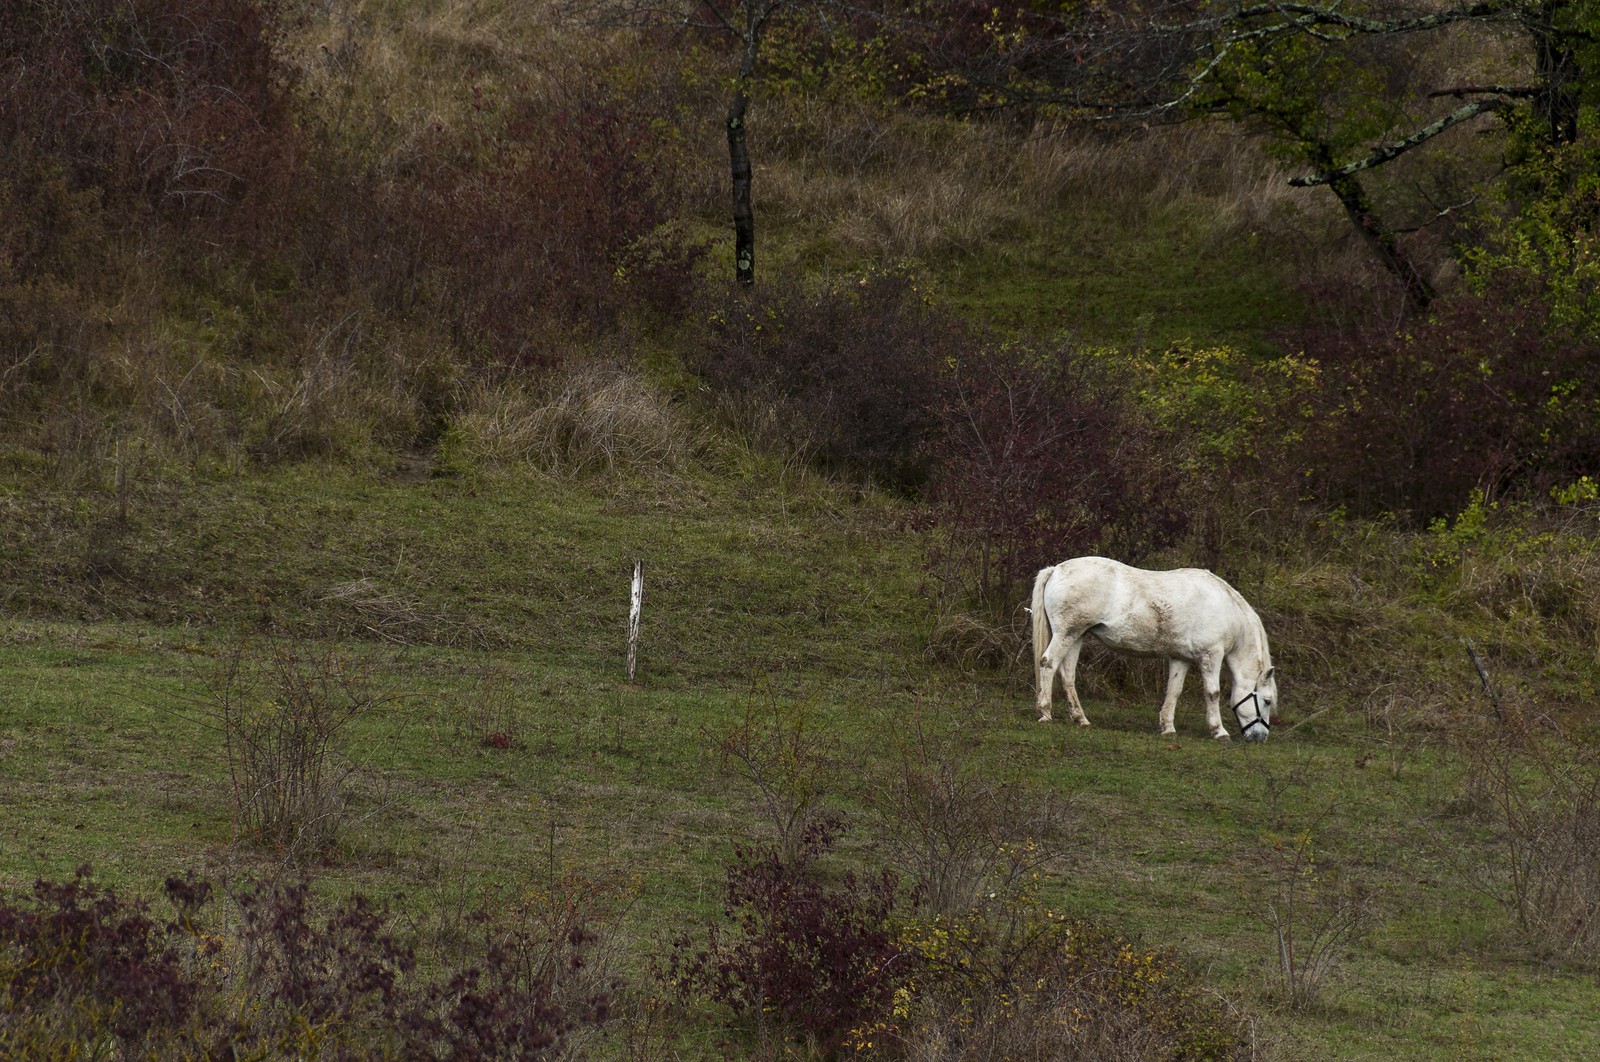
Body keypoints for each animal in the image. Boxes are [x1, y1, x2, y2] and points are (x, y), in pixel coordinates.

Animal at [1030, 556, 1277, 742]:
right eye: (1266, 701)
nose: (1260, 737)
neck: (1225, 608)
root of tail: (1055, 570)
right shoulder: (1211, 656)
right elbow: (1212, 693)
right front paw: (1219, 731)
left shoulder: (1180, 658)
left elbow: (1174, 691)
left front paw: (1167, 727)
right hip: (1066, 634)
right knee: (1048, 664)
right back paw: (1045, 712)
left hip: (1076, 635)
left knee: (1067, 675)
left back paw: (1080, 718)